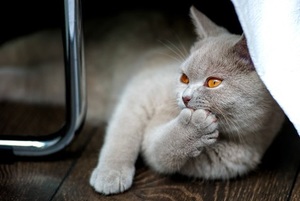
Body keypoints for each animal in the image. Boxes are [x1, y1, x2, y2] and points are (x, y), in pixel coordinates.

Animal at [88, 6, 284, 195]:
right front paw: (111, 175)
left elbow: (161, 151)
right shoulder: (140, 95)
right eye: (184, 78)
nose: (185, 97)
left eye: (213, 82)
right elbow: (123, 134)